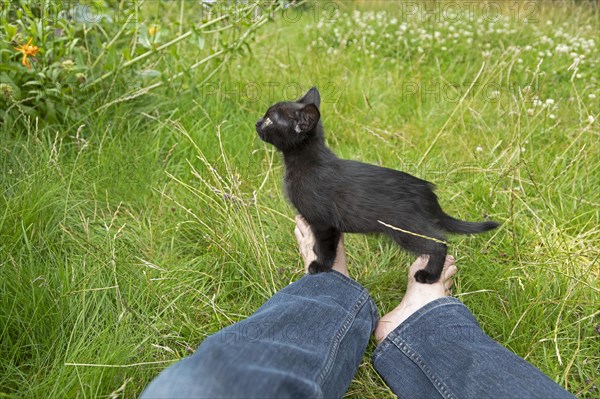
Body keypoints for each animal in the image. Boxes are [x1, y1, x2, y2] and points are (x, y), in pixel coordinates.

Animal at [255, 87, 500, 284]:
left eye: (270, 120)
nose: (257, 123)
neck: (306, 161)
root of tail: (426, 192)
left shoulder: (323, 222)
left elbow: (326, 246)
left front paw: (320, 265)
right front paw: (314, 250)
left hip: (403, 229)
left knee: (439, 242)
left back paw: (429, 276)